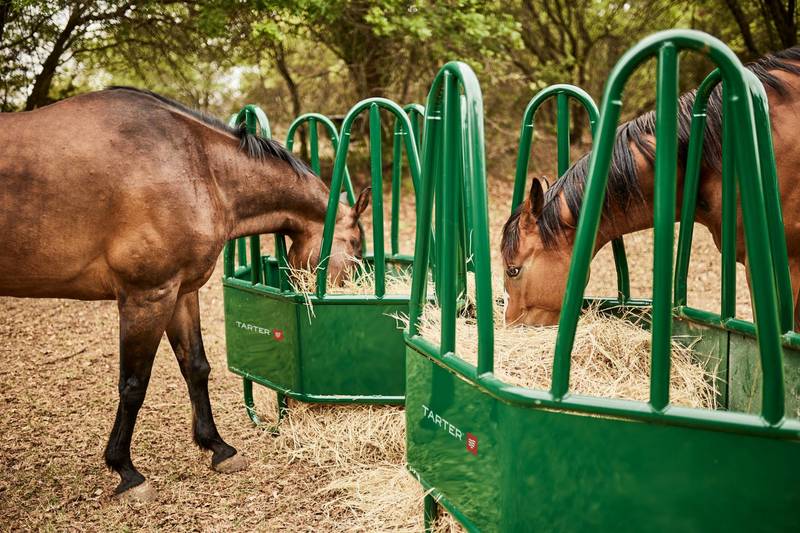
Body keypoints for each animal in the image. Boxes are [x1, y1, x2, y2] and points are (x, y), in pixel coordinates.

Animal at [0, 87, 370, 500]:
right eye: (356, 246)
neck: (198, 166)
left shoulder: (180, 293)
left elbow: (196, 367)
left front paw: (218, 447)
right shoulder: (147, 297)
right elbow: (133, 385)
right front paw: (126, 470)